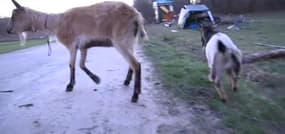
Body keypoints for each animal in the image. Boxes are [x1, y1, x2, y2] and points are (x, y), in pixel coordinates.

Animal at [7, 0, 146, 102]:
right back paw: (127, 82)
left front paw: (69, 86)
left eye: (15, 16)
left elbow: (71, 65)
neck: (57, 22)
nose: (8, 30)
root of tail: (137, 16)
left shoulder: (71, 45)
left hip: (120, 40)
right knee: (132, 62)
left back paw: (135, 95)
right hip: (130, 41)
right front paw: (96, 79)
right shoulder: (83, 47)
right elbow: (81, 64)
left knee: (136, 64)